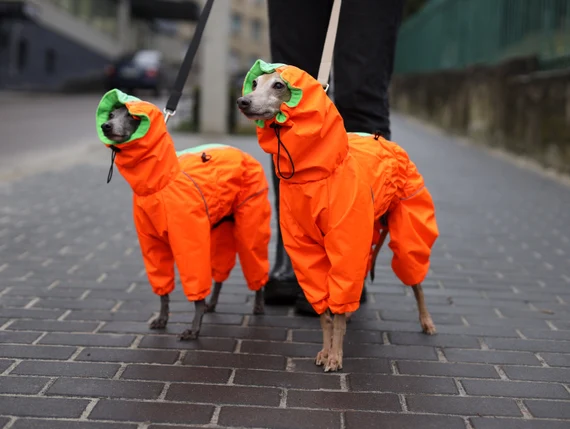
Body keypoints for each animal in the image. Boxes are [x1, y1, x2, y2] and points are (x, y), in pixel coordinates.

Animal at [95, 88, 270, 340]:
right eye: (110, 114)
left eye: (132, 116)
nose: (106, 126)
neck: (159, 186)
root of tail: (244, 153)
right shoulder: (152, 245)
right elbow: (163, 290)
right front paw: (162, 318)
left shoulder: (190, 243)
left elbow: (196, 290)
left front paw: (195, 328)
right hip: (219, 229)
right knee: (220, 272)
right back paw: (213, 303)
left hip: (250, 224)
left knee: (255, 262)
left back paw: (258, 304)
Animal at [236, 60, 440, 372]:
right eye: (255, 83)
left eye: (279, 85)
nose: (242, 101)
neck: (315, 177)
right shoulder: (306, 250)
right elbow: (326, 313)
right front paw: (325, 350)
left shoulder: (346, 244)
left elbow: (339, 309)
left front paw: (336, 356)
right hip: (368, 235)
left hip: (406, 232)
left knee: (415, 279)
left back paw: (427, 321)